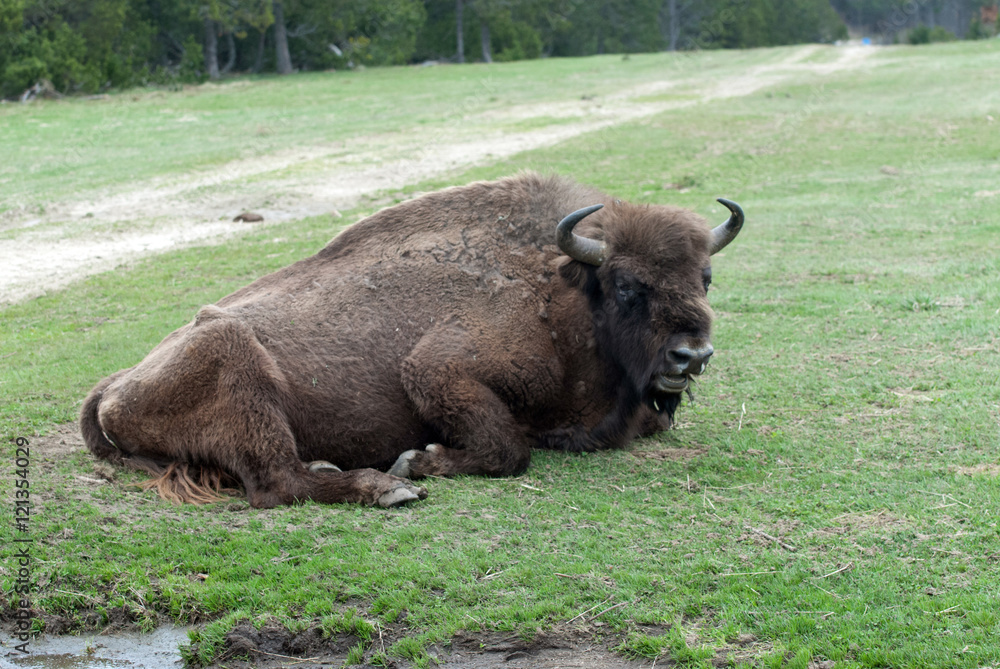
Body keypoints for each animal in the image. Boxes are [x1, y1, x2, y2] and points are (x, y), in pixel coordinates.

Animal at [82, 172, 744, 506]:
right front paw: (418, 460)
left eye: (706, 277)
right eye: (628, 285)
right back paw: (389, 488)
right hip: (234, 361)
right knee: (276, 483)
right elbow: (507, 448)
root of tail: (114, 384)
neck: (562, 288)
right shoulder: (438, 368)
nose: (691, 355)